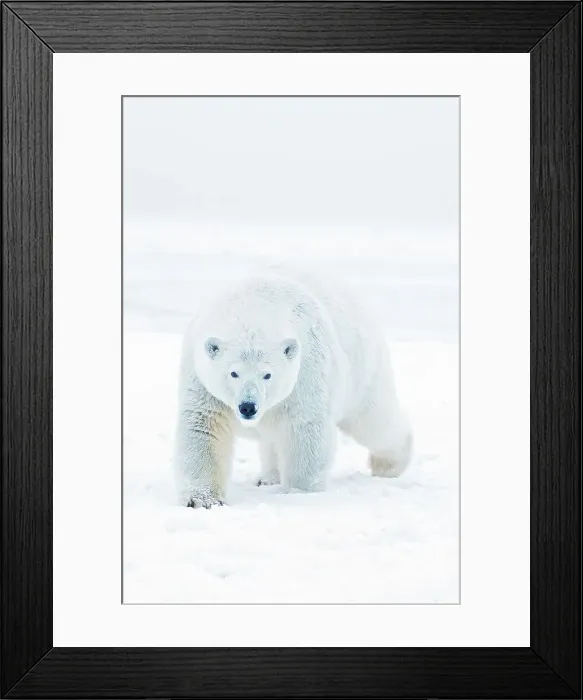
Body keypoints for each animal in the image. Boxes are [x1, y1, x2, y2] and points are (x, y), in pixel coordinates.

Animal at [172, 265, 413, 509]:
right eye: (234, 373)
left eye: (267, 374)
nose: (248, 407)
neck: (255, 305)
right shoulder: (201, 378)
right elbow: (204, 426)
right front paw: (202, 500)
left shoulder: (306, 368)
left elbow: (304, 426)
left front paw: (299, 492)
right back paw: (269, 477)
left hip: (363, 369)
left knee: (373, 421)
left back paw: (389, 464)